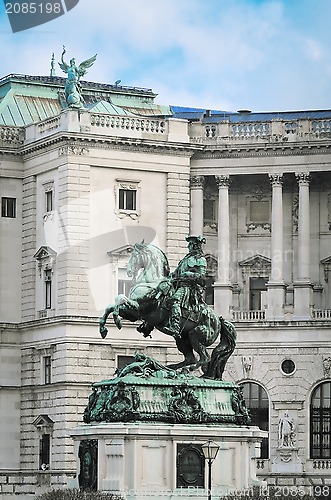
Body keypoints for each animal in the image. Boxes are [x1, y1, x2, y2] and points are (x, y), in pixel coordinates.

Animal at [100, 242, 237, 378]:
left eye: (134, 256)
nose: (128, 271)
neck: (152, 282)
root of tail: (219, 319)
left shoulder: (138, 309)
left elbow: (118, 301)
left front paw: (117, 320)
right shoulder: (133, 314)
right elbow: (111, 305)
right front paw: (103, 328)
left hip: (196, 335)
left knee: (205, 358)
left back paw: (185, 369)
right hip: (182, 339)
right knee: (190, 358)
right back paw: (169, 368)